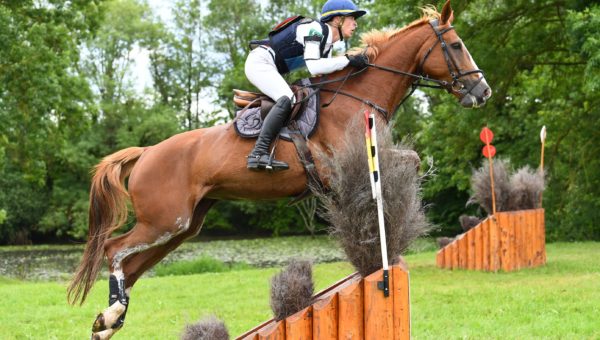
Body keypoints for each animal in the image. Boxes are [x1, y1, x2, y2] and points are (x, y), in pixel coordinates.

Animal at [70, 1, 492, 338]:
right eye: (456, 45)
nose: (482, 91)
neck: (356, 95)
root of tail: (147, 152)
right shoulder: (339, 169)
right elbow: (401, 168)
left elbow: (411, 162)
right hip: (165, 220)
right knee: (114, 249)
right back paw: (112, 313)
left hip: (183, 226)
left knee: (130, 264)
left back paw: (108, 321)